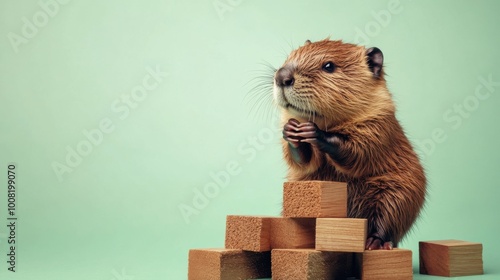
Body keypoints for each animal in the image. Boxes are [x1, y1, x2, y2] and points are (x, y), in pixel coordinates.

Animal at [274, 38, 426, 249]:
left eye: (329, 66)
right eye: (290, 56)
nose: (282, 76)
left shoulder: (380, 125)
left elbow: (358, 152)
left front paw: (314, 132)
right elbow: (304, 162)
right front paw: (291, 130)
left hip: (398, 194)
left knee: (386, 221)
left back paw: (375, 243)